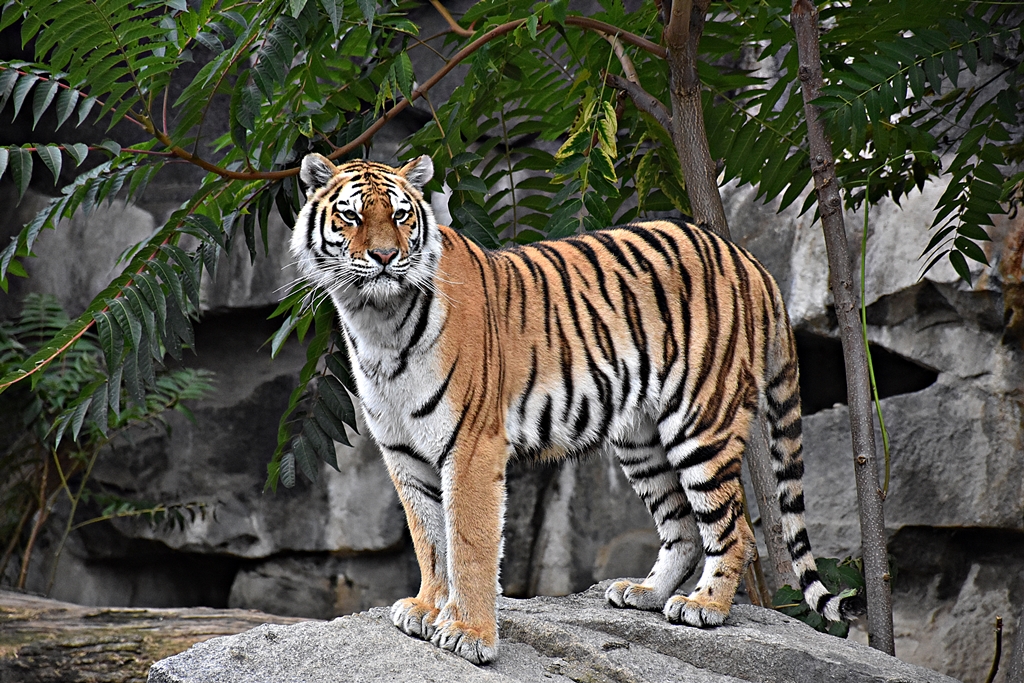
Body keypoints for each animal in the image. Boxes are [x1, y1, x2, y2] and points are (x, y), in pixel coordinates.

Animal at [289, 153, 862, 665]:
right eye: (352, 216)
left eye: (402, 215)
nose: (386, 257)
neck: (377, 322)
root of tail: (746, 256)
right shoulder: (403, 452)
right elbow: (429, 538)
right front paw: (428, 609)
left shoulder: (471, 445)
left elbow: (468, 543)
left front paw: (470, 635)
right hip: (640, 437)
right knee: (680, 525)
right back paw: (645, 593)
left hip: (700, 420)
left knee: (734, 528)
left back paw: (705, 606)